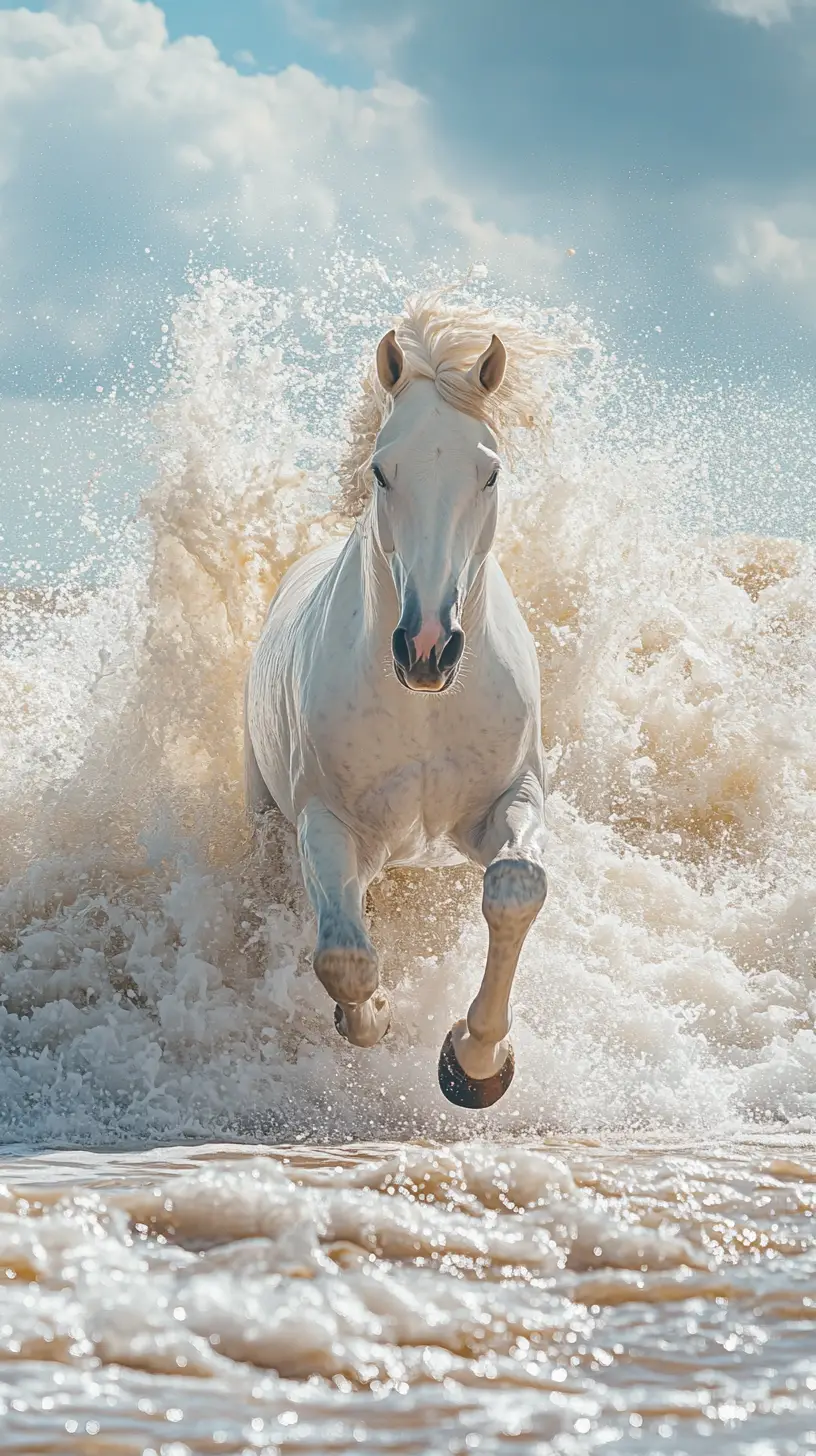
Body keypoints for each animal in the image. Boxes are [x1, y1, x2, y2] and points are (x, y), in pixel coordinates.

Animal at [245, 294, 555, 1108]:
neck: (424, 710)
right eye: (384, 471)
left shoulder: (508, 800)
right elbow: (345, 959)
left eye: (489, 472)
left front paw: (474, 1062)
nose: (426, 647)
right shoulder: (328, 823)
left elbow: (516, 888)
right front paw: (377, 1013)